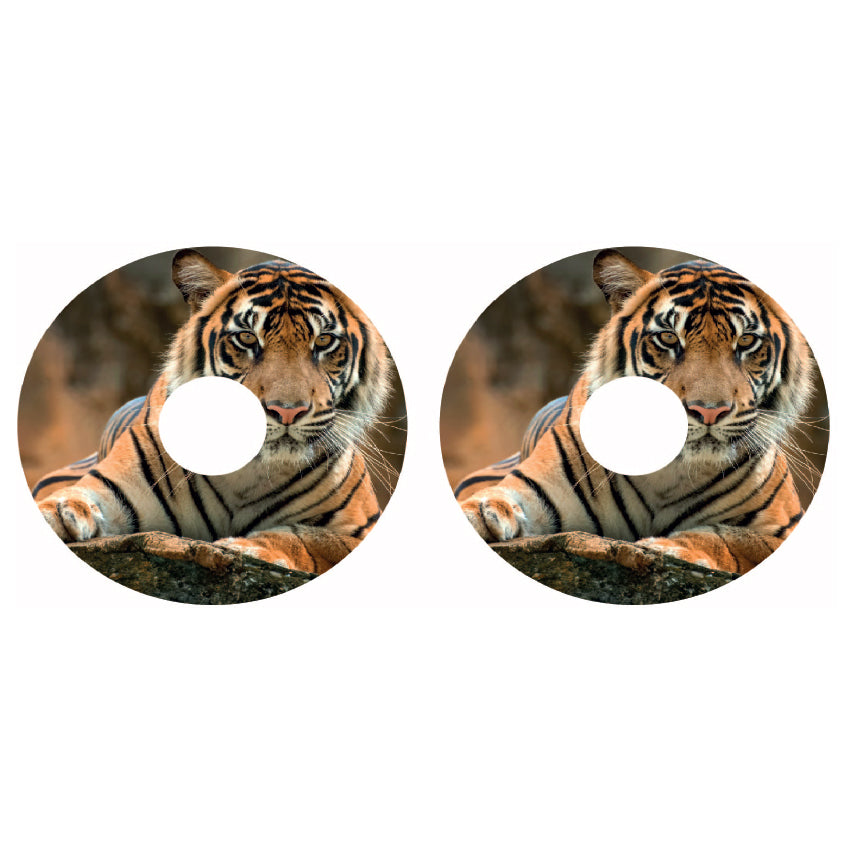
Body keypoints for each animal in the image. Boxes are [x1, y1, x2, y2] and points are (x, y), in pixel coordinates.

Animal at [34, 249, 393, 575]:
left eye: (324, 341)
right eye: (247, 338)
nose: (287, 411)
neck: (249, 472)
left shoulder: (358, 530)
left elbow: (309, 539)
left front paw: (247, 547)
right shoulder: (113, 487)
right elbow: (76, 496)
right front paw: (60, 512)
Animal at [455, 249, 817, 576]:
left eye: (745, 342)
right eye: (668, 338)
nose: (708, 411)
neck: (671, 472)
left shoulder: (780, 530)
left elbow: (729, 538)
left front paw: (669, 547)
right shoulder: (536, 486)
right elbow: (499, 496)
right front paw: (481, 513)